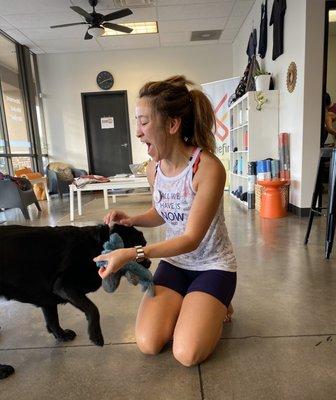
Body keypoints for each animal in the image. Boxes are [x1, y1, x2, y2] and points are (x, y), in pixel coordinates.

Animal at [0, 223, 150, 380]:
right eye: (138, 246)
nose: (150, 262)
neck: (95, 246)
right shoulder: (63, 285)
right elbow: (93, 309)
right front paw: (96, 335)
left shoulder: (49, 298)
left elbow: (52, 320)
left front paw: (61, 335)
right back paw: (2, 370)